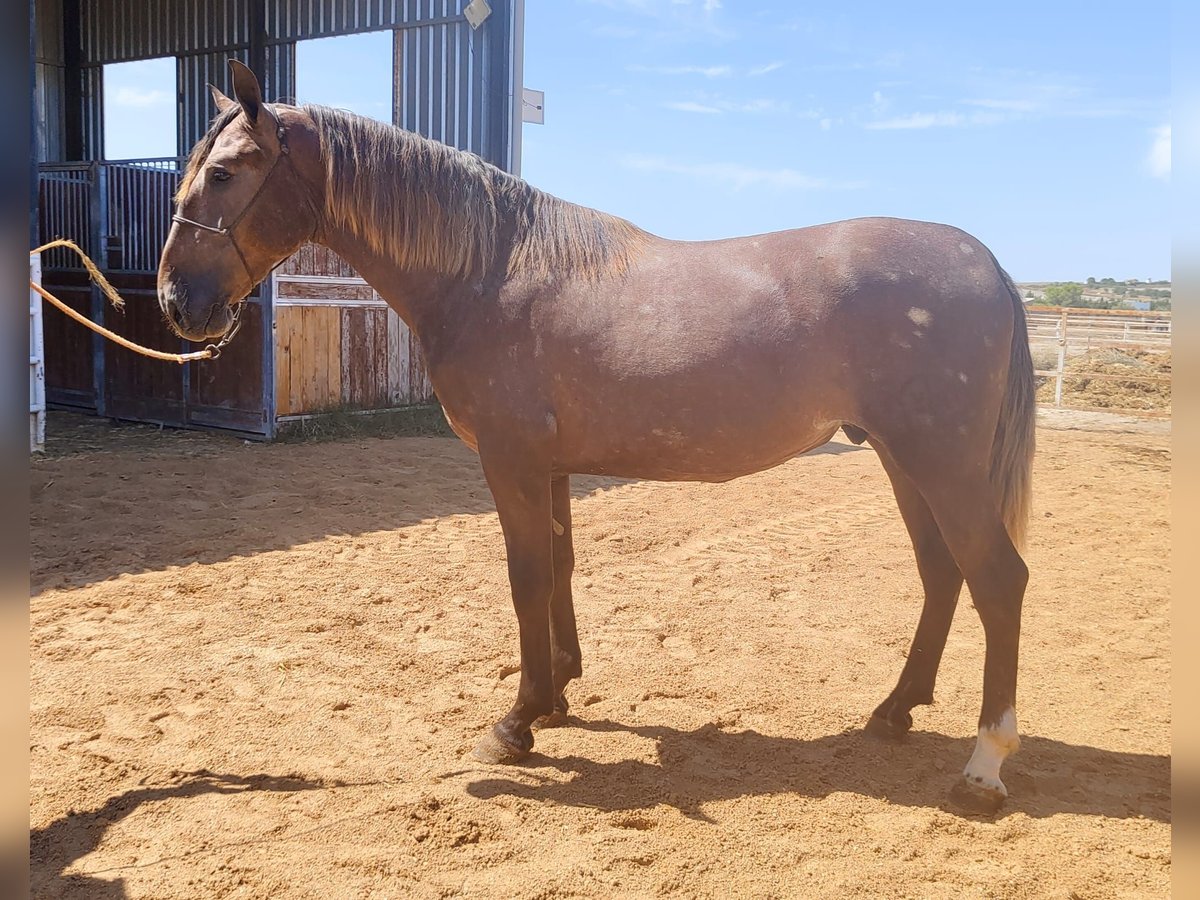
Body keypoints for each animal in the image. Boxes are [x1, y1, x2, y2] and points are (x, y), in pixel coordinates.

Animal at [159, 60, 1036, 816]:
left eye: (225, 172)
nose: (175, 300)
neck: (492, 271)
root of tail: (987, 266)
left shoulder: (510, 462)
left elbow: (525, 578)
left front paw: (514, 724)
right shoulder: (548, 467)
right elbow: (560, 568)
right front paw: (556, 695)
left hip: (942, 464)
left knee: (997, 581)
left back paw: (984, 767)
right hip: (902, 459)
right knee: (941, 573)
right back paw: (894, 712)